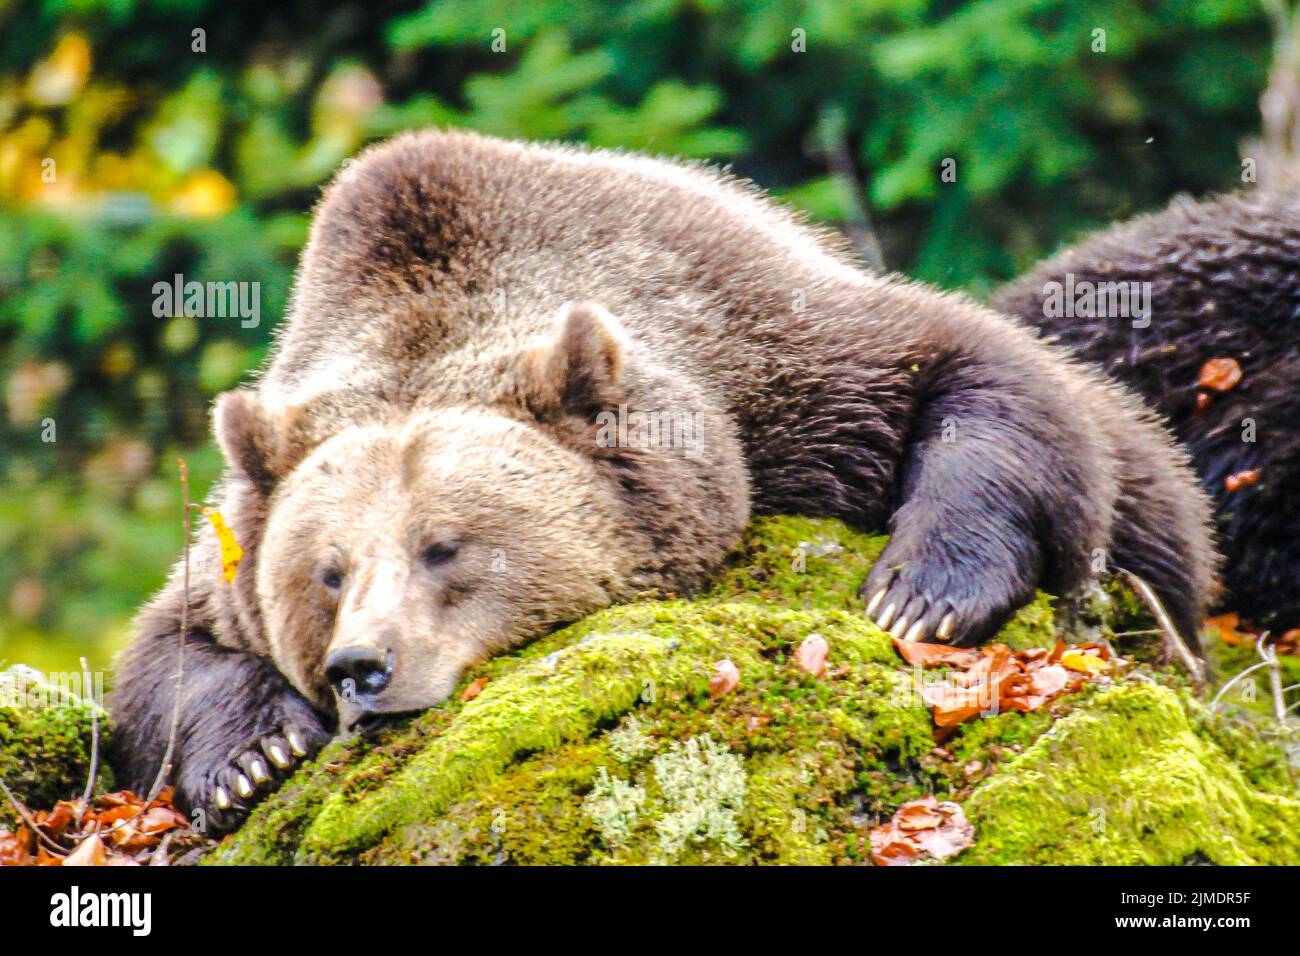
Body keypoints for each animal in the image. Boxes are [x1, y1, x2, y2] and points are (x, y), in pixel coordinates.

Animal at [109, 130, 1219, 832]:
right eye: (327, 570)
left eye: (444, 546)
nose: (361, 668)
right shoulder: (235, 535)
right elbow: (167, 646)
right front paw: (253, 755)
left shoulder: (757, 360)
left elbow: (963, 369)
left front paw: (925, 591)